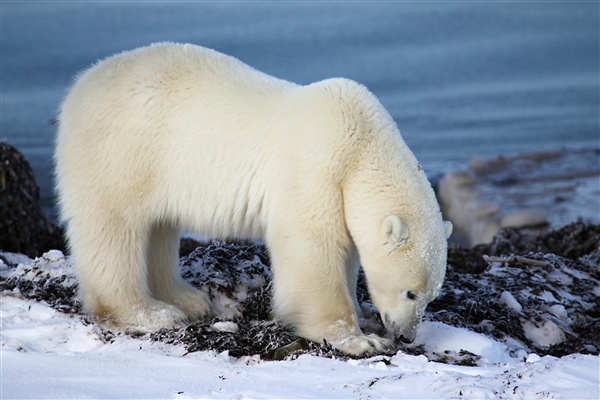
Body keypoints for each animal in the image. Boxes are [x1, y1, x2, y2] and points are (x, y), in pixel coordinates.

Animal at [56, 43, 452, 356]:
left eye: (430, 296)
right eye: (411, 293)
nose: (405, 336)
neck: (360, 145)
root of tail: (80, 86)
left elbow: (348, 252)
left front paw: (364, 314)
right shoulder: (313, 168)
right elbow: (311, 247)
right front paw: (359, 339)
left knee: (158, 226)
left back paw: (187, 299)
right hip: (122, 151)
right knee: (114, 230)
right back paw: (151, 313)